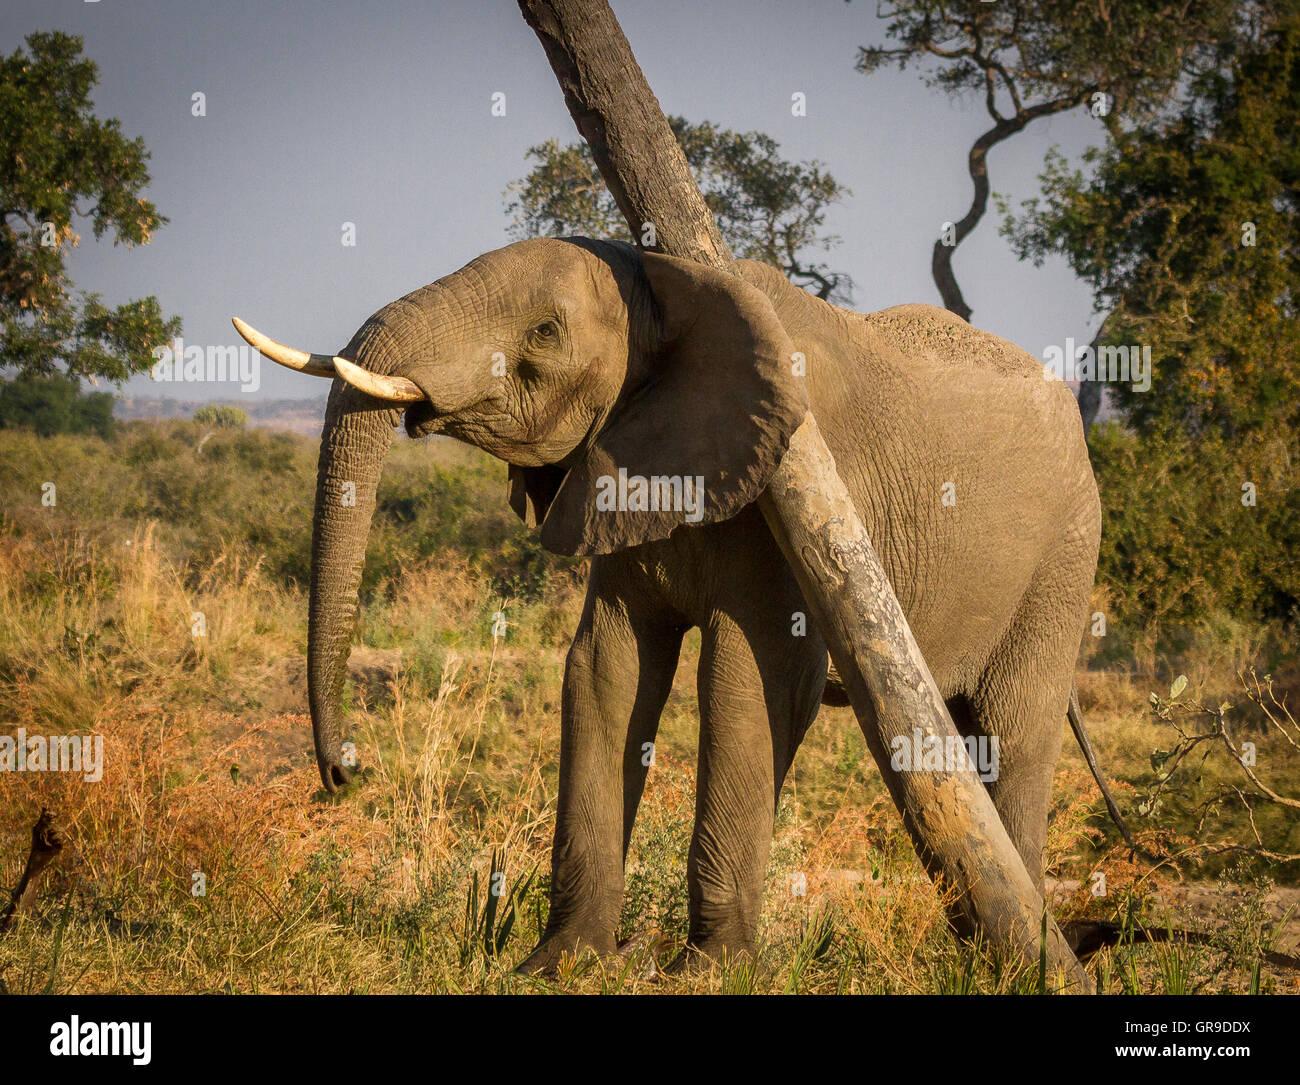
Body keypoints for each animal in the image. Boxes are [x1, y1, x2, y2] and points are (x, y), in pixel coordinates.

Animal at [233, 235, 1107, 966]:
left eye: (544, 332)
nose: (342, 771)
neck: (668, 285)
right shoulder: (617, 469)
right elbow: (605, 670)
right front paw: (560, 964)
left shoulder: (793, 485)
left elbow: (747, 684)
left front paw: (711, 971)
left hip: (1065, 554)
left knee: (1011, 731)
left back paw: (1014, 963)